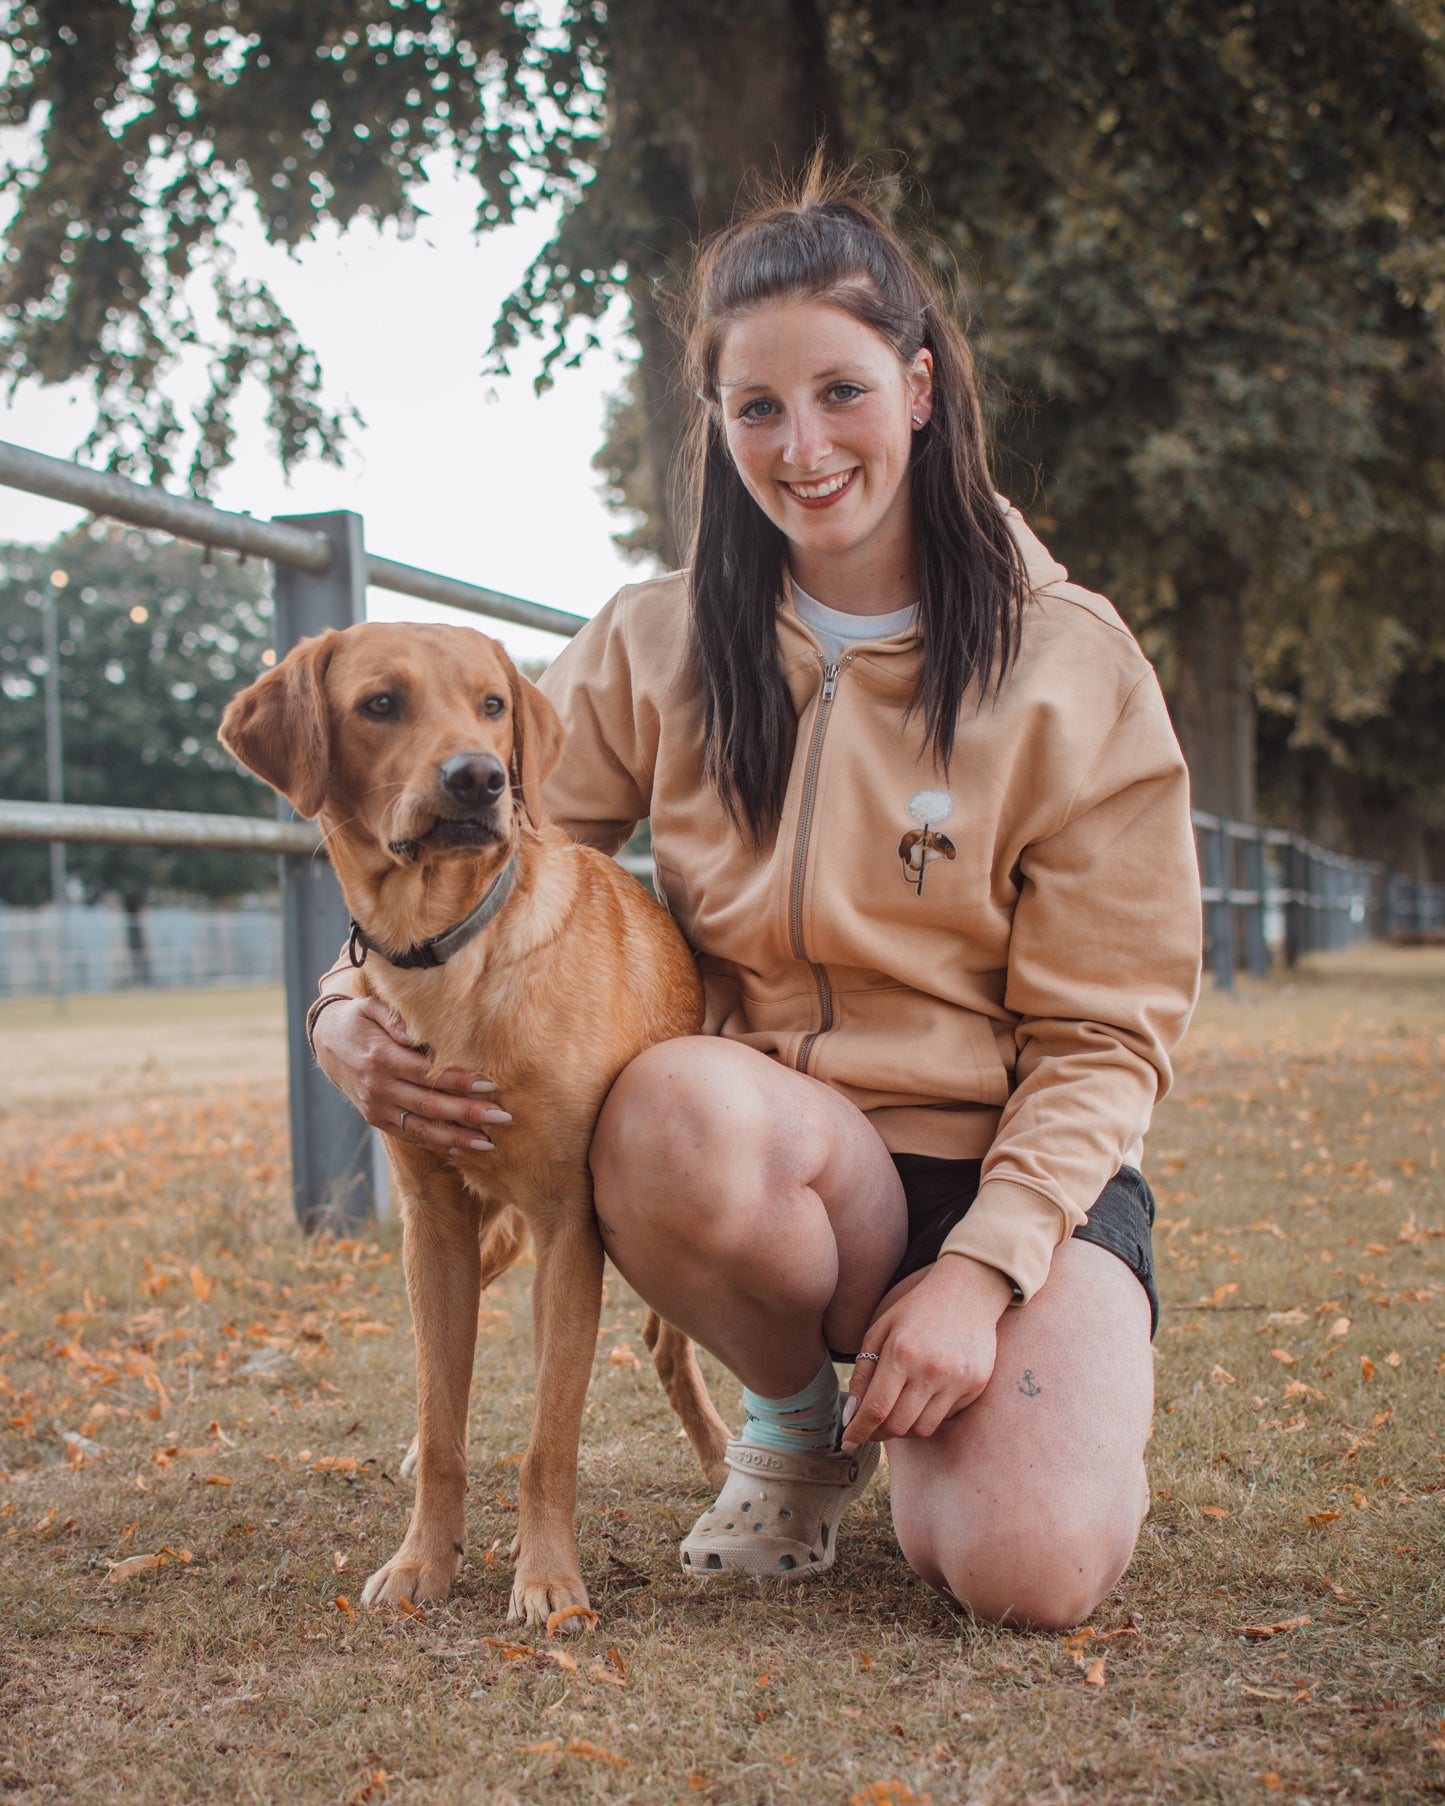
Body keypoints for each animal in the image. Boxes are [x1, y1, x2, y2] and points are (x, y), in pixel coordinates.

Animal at [218, 621, 729, 1625]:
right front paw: (425, 1559)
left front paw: (550, 1581)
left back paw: (725, 1461)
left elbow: (549, 1438)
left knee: (660, 1341)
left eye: (493, 705)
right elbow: (441, 1411)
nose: (480, 778)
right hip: (489, 1231)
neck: (448, 951)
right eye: (380, 703)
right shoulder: (437, 1225)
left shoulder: (570, 1225)